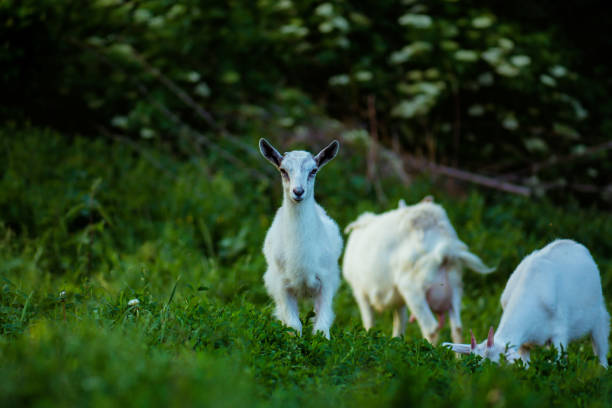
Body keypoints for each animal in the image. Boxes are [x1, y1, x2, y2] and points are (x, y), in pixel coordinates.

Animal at [260, 139, 344, 340]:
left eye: (313, 170)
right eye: (283, 170)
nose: (298, 191)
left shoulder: (327, 281)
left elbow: (321, 328)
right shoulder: (281, 285)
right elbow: (293, 326)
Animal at [342, 196, 494, 342]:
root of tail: (446, 247)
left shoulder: (360, 292)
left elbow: (369, 323)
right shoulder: (399, 300)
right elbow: (399, 325)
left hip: (413, 288)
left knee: (431, 328)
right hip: (455, 286)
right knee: (457, 328)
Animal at [448, 237, 608, 368]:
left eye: (496, 364)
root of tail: (578, 246)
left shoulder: (560, 332)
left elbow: (559, 362)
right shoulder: (523, 345)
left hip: (599, 314)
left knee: (601, 349)